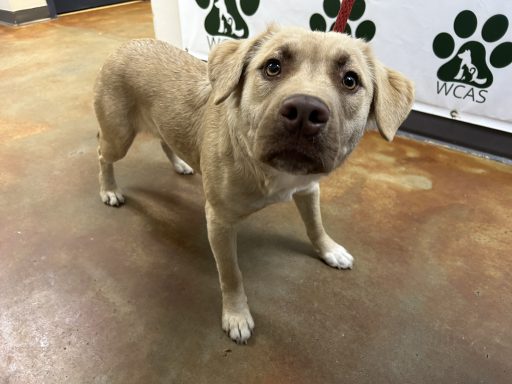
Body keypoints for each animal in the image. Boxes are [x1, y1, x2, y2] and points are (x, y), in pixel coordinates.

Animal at [94, 25, 416, 344]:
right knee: (102, 155)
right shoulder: (219, 223)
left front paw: (328, 249)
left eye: (350, 80)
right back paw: (109, 190)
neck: (265, 166)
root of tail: (126, 46)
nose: (305, 111)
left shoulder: (308, 189)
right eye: (273, 67)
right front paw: (236, 315)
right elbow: (231, 274)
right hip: (118, 138)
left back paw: (180, 164)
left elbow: (315, 225)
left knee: (164, 140)